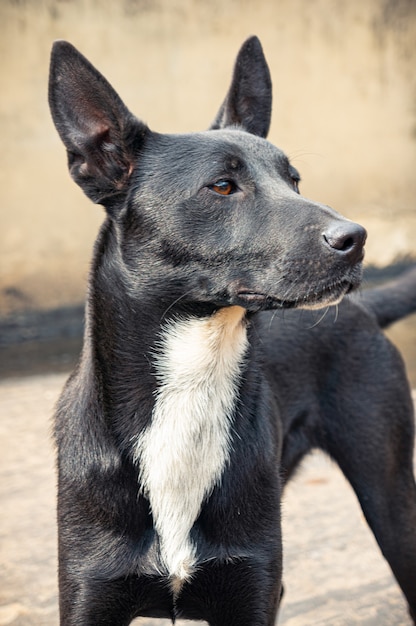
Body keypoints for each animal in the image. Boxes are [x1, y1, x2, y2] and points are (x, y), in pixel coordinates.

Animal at [48, 36, 416, 620]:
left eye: (294, 181)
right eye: (223, 186)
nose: (356, 238)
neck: (193, 380)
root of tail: (363, 309)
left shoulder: (249, 590)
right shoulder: (90, 595)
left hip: (390, 497)